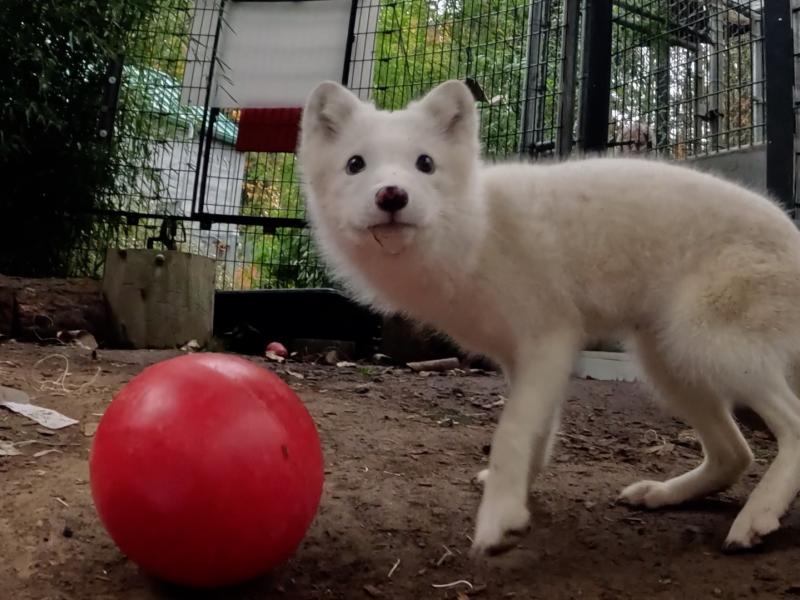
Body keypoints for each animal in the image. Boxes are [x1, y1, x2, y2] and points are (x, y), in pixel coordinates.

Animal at [296, 79, 800, 556]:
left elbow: (512, 434)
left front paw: (499, 521)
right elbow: (537, 433)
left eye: (425, 163)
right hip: (670, 364)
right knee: (735, 455)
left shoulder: (550, 340)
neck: (477, 228)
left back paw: (756, 517)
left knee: (791, 426)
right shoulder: (521, 358)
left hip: (711, 349)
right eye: (355, 164)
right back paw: (664, 494)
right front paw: (518, 496)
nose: (392, 196)